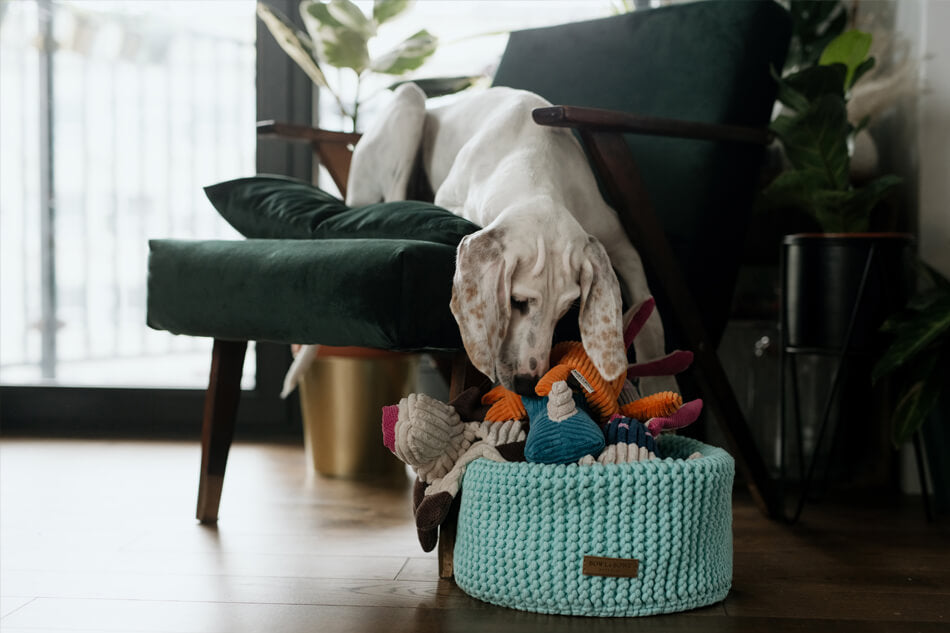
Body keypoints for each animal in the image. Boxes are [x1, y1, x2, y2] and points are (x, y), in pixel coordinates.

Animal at [284, 86, 676, 398]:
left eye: (567, 310)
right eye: (517, 302)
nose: (527, 384)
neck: (534, 158)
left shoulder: (620, 244)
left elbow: (651, 314)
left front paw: (661, 383)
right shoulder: (453, 203)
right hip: (410, 101)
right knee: (396, 193)